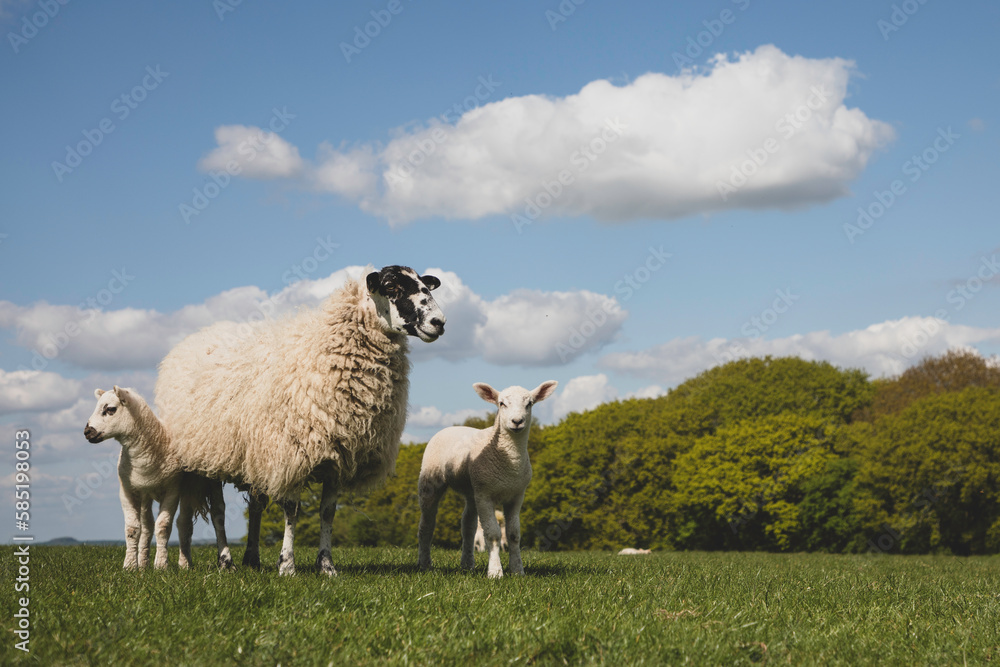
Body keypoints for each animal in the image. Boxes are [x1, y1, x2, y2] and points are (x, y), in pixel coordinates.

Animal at [84, 386, 233, 570]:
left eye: (110, 409)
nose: (87, 432)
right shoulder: (127, 490)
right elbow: (133, 529)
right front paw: (130, 565)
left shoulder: (172, 489)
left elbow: (163, 526)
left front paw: (161, 565)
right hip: (146, 494)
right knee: (148, 525)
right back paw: (143, 563)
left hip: (198, 485)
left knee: (192, 521)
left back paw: (186, 564)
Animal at [155, 265, 446, 576]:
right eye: (392, 287)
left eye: (424, 285)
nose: (439, 322)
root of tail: (195, 336)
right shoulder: (292, 453)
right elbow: (291, 511)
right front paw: (287, 565)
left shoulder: (338, 457)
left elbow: (327, 513)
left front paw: (327, 565)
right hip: (211, 454)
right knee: (219, 511)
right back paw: (226, 561)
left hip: (254, 454)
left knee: (256, 506)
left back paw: (252, 558)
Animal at [417, 380, 558, 578]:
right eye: (501, 403)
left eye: (529, 403)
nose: (517, 422)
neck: (509, 462)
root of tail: (452, 427)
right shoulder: (486, 495)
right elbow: (493, 534)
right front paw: (495, 572)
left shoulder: (516, 495)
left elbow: (513, 534)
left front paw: (518, 570)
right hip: (431, 481)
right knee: (427, 524)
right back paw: (424, 564)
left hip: (472, 490)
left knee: (468, 526)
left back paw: (467, 564)